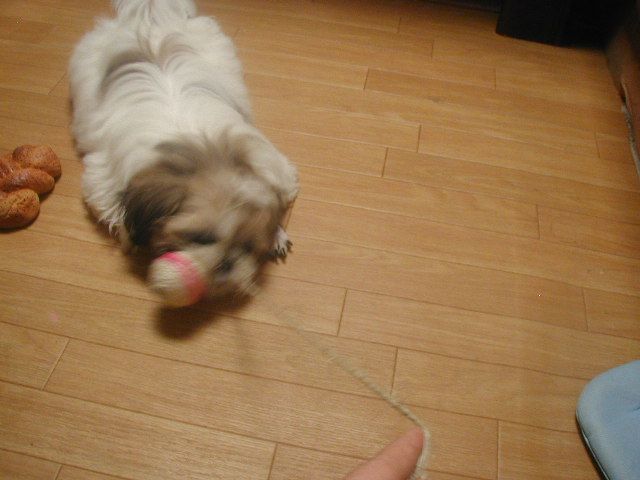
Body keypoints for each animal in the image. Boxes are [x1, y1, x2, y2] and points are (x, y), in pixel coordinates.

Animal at [69, 0, 299, 298]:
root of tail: (150, 17)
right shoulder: (103, 182)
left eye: (248, 245)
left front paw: (276, 234)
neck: (203, 153)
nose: (226, 263)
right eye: (200, 238)